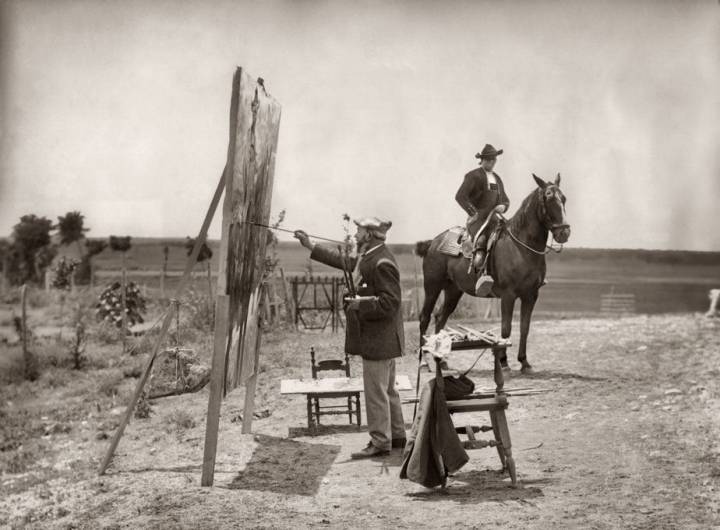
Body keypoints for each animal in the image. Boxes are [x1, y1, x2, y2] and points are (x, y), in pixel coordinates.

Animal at [414, 173, 572, 372]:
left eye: (564, 198)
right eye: (548, 198)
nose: (564, 233)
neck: (521, 247)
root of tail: (433, 242)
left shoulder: (530, 295)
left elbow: (525, 328)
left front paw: (524, 362)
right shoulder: (508, 296)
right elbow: (506, 329)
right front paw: (503, 361)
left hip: (453, 291)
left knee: (440, 317)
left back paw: (441, 359)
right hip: (432, 286)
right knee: (424, 318)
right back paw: (424, 362)